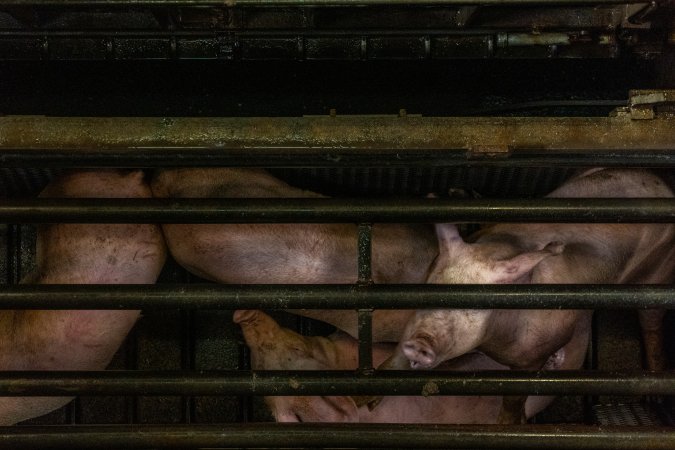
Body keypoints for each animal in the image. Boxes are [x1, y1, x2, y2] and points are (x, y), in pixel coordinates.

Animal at [380, 168, 675, 422]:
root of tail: (659, 181)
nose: (420, 342)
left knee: (651, 324)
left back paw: (654, 398)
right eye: (431, 289)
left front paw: (508, 423)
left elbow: (514, 397)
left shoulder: (532, 357)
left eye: (476, 306)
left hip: (656, 276)